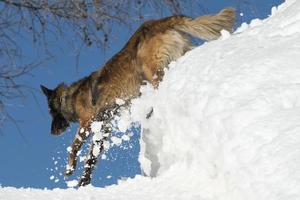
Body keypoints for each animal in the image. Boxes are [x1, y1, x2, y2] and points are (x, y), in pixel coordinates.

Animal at [41, 7, 236, 186]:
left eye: (51, 111)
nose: (51, 132)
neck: (71, 97)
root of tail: (157, 23)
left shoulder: (87, 123)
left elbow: (74, 146)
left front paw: (69, 169)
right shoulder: (104, 128)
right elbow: (92, 157)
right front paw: (84, 181)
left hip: (151, 69)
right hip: (176, 55)